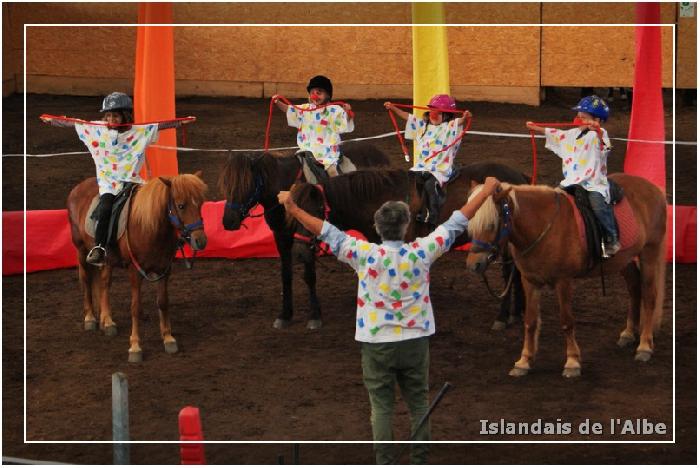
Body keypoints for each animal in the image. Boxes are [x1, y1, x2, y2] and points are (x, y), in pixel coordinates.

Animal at [65, 174, 208, 364]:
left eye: (200, 203)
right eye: (181, 205)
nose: (200, 240)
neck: (148, 227)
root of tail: (77, 188)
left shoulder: (164, 270)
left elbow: (163, 302)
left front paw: (168, 338)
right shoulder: (135, 272)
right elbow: (134, 306)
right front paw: (135, 347)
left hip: (107, 260)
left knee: (104, 284)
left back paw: (107, 321)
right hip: (81, 250)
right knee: (87, 280)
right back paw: (90, 318)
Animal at [220, 143, 388, 330]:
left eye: (247, 184)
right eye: (226, 183)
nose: (229, 221)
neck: (286, 192)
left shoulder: (309, 238)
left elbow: (309, 276)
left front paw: (314, 315)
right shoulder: (282, 237)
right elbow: (286, 275)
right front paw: (285, 315)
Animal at [464, 174, 668, 378]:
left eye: (491, 224)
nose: (474, 264)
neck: (542, 227)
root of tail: (654, 189)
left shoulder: (564, 282)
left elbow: (567, 321)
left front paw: (572, 362)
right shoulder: (530, 281)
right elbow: (530, 321)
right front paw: (524, 361)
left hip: (649, 252)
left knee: (649, 296)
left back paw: (644, 346)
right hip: (624, 259)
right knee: (634, 288)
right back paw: (628, 334)